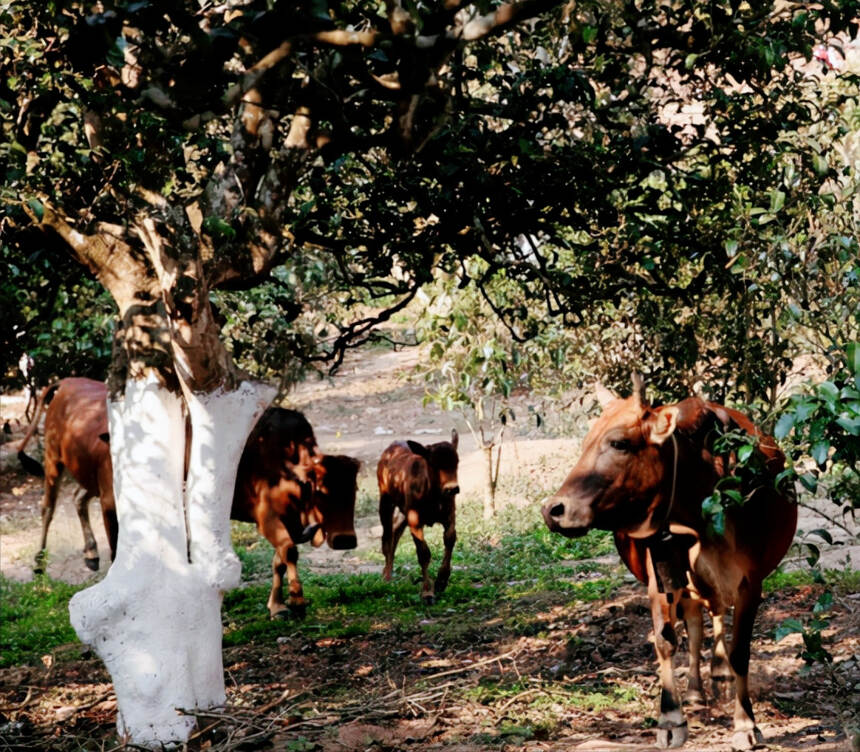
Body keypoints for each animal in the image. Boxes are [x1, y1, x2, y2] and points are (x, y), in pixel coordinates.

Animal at [17, 378, 116, 572]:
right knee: (48, 506)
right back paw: (39, 561)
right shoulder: (109, 502)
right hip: (52, 457)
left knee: (78, 497)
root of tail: (67, 381)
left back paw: (91, 552)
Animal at [232, 408, 360, 620]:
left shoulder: (291, 521)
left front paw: (277, 606)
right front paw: (296, 601)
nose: (345, 540)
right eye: (321, 491)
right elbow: (289, 551)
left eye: (354, 490)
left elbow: (280, 561)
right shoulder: (267, 519)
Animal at [376, 428, 456, 604]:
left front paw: (441, 581)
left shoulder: (449, 515)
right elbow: (423, 553)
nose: (452, 488)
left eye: (456, 462)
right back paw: (386, 576)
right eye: (434, 464)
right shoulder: (415, 521)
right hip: (385, 501)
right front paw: (427, 592)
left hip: (404, 512)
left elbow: (450, 540)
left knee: (396, 532)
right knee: (387, 538)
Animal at [540, 376, 796, 752]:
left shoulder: (750, 583)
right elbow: (666, 641)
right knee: (697, 623)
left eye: (619, 442)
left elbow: (740, 651)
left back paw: (720, 675)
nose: (553, 510)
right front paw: (671, 718)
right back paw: (696, 691)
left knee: (716, 615)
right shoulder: (659, 577)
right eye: (586, 443)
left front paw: (745, 723)